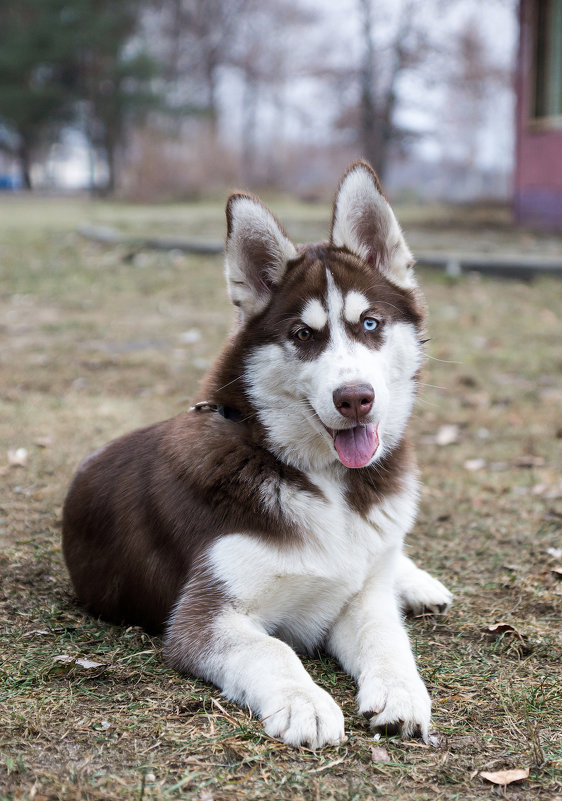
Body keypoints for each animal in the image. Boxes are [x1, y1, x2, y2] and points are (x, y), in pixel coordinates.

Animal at [63, 161, 452, 752]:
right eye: (302, 334)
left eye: (369, 323)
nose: (355, 398)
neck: (322, 481)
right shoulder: (205, 618)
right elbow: (274, 647)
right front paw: (305, 701)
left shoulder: (359, 597)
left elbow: (387, 635)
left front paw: (402, 692)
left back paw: (417, 582)